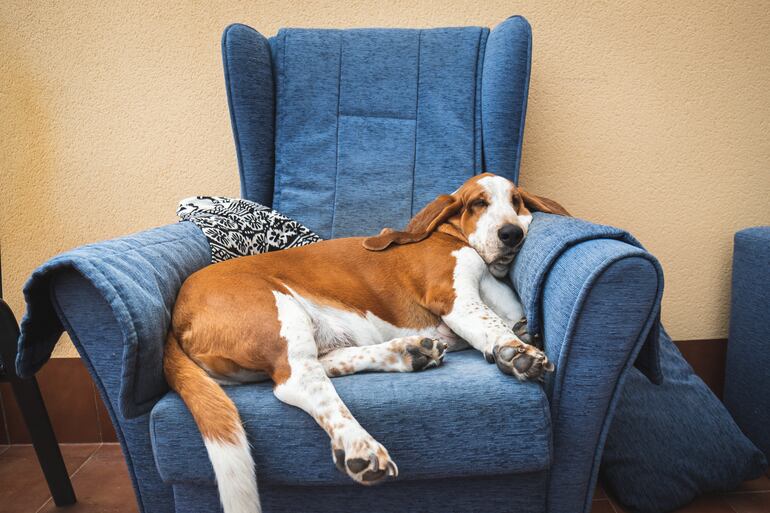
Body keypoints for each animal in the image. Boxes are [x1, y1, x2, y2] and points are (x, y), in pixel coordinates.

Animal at [164, 173, 568, 512]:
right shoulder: (453, 298)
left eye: (516, 200)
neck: (453, 237)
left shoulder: (505, 308)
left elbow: (508, 323)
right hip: (281, 310)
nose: (511, 234)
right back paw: (359, 444)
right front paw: (517, 354)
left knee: (323, 364)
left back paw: (409, 353)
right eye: (478, 204)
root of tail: (176, 316)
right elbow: (491, 325)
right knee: (301, 383)